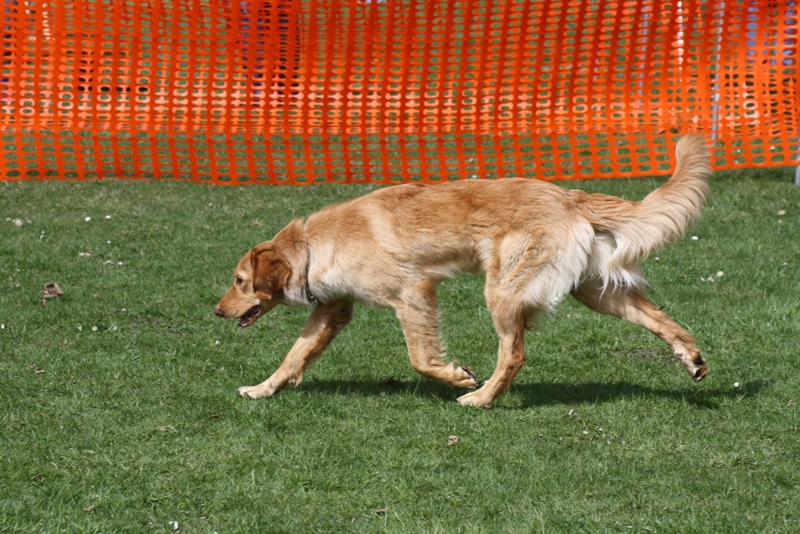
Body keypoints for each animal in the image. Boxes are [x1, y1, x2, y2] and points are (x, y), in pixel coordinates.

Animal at [215, 134, 711, 408]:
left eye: (239, 281)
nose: (217, 312)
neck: (316, 245)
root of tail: (569, 196)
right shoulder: (333, 309)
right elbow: (292, 357)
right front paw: (262, 389)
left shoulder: (412, 293)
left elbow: (420, 358)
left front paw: (457, 375)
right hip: (593, 291)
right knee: (661, 318)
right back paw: (692, 359)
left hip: (504, 291)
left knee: (513, 354)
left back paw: (481, 397)